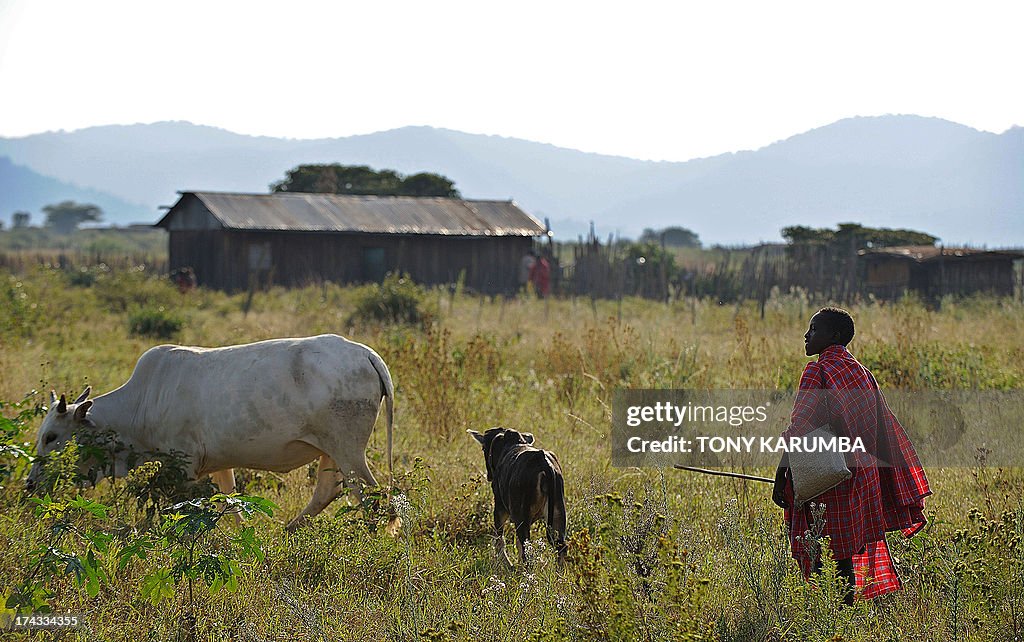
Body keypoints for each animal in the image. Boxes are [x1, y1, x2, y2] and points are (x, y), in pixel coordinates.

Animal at [27, 333, 395, 528]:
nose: (30, 484)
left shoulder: (184, 465)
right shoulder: (219, 464)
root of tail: (365, 353)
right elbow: (231, 505)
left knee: (373, 497)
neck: (142, 401)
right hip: (330, 450)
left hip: (348, 450)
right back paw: (288, 531)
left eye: (51, 437)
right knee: (329, 490)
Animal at [468, 427, 569, 569]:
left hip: (522, 516)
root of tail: (544, 463)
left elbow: (500, 539)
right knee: (561, 547)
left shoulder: (500, 508)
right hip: (557, 513)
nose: (489, 476)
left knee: (527, 549)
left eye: (483, 448)